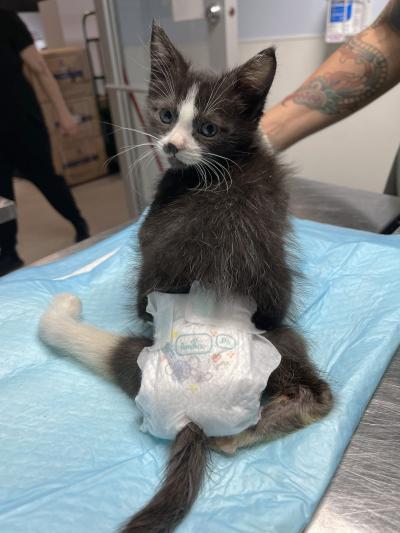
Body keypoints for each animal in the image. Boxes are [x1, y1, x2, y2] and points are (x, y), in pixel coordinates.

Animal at [39, 23, 334, 532]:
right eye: (164, 115)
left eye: (207, 128)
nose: (171, 147)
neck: (222, 167)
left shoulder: (154, 224)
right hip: (281, 338)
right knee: (318, 394)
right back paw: (242, 434)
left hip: (137, 361)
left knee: (80, 339)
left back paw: (62, 313)